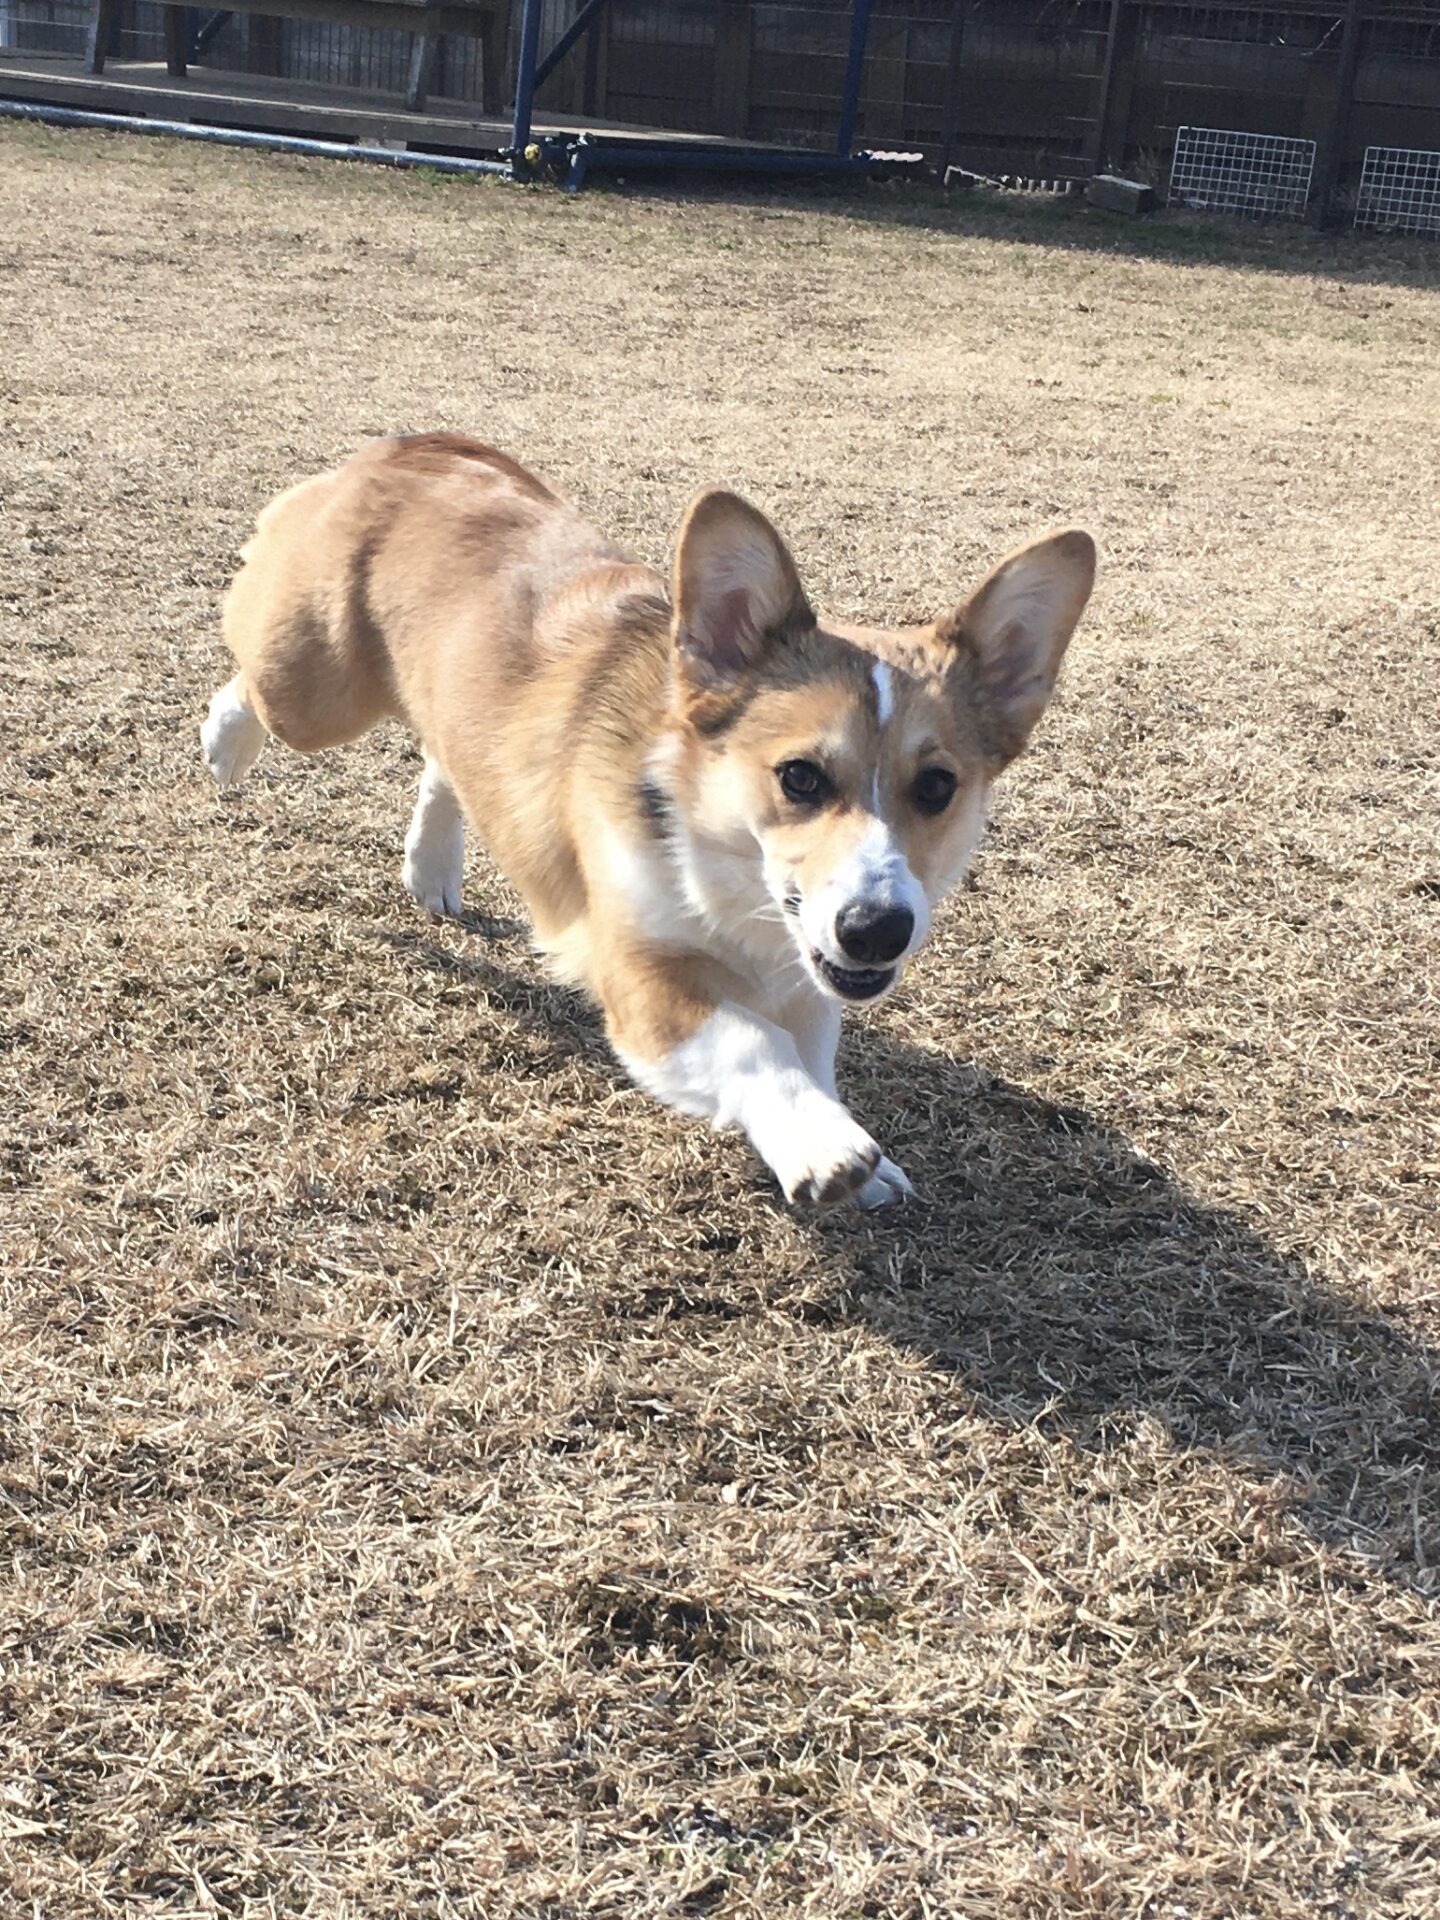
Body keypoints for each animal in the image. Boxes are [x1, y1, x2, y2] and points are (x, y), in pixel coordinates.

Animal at [203, 434, 1095, 1208]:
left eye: (937, 786)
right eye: (800, 777)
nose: (876, 929)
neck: (727, 875)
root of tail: (413, 446)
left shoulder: (808, 987)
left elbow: (810, 1054)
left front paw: (841, 1145)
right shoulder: (641, 979)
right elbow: (753, 1044)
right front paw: (821, 1144)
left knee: (443, 757)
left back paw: (432, 866)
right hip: (312, 692)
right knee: (254, 676)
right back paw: (225, 743)